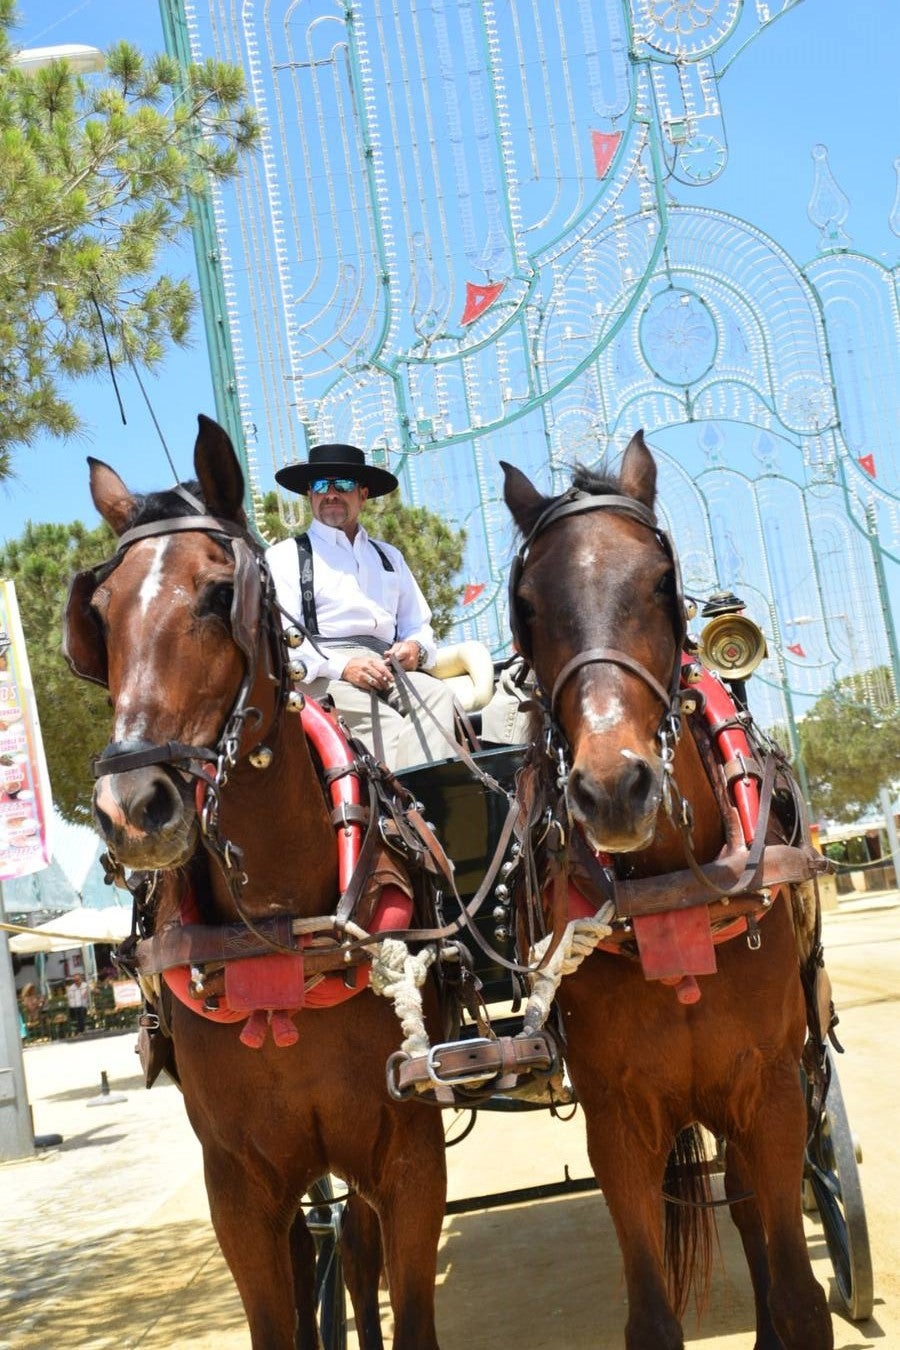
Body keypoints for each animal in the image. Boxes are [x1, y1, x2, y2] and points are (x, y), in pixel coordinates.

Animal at [64, 413, 447, 1350]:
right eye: (98, 614)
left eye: (215, 594)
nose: (132, 807)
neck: (278, 929)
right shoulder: (238, 1186)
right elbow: (284, 1314)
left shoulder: (410, 1152)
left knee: (361, 1253)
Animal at [504, 434, 836, 1350]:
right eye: (527, 607)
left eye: (658, 581)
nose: (615, 788)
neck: (670, 897)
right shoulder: (620, 1119)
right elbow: (651, 1315)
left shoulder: (771, 1092)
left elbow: (799, 1296)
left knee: (757, 1227)